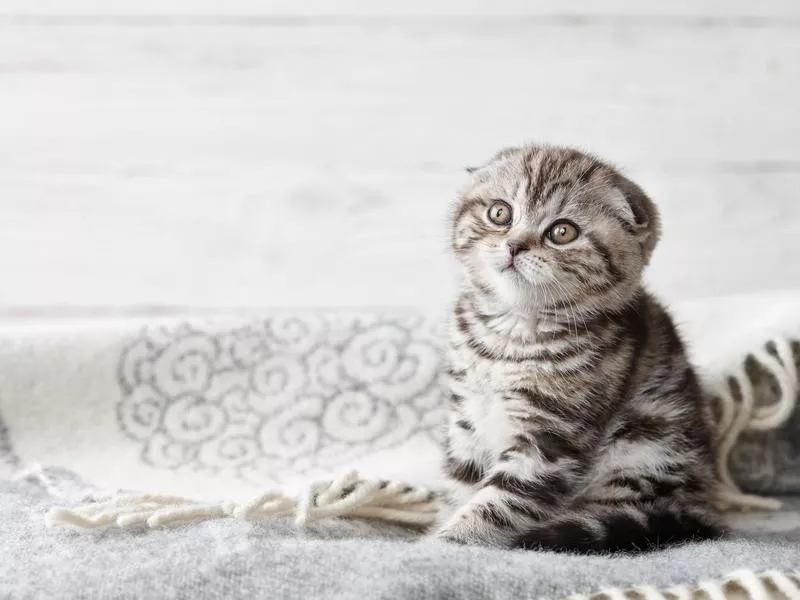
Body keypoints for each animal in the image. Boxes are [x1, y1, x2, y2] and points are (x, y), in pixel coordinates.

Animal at [434, 144, 720, 552]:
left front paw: (449, 543)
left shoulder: (551, 438)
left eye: (562, 232)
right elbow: (460, 486)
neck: (511, 333)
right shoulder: (466, 420)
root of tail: (700, 501)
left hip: (646, 444)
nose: (514, 245)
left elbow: (499, 504)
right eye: (500, 213)